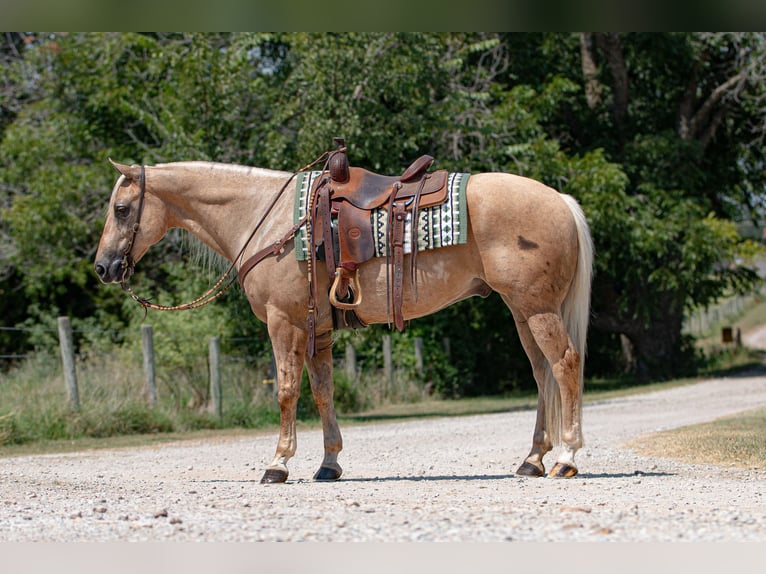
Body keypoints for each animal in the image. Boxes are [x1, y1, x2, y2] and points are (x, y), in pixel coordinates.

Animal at [91, 158, 592, 486]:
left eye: (121, 209)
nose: (103, 267)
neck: (266, 219)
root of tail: (561, 200)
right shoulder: (318, 330)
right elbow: (323, 392)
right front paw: (328, 465)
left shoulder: (285, 323)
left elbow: (286, 391)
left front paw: (278, 464)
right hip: (522, 311)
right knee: (542, 374)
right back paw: (533, 459)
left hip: (537, 308)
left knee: (566, 364)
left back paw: (566, 458)